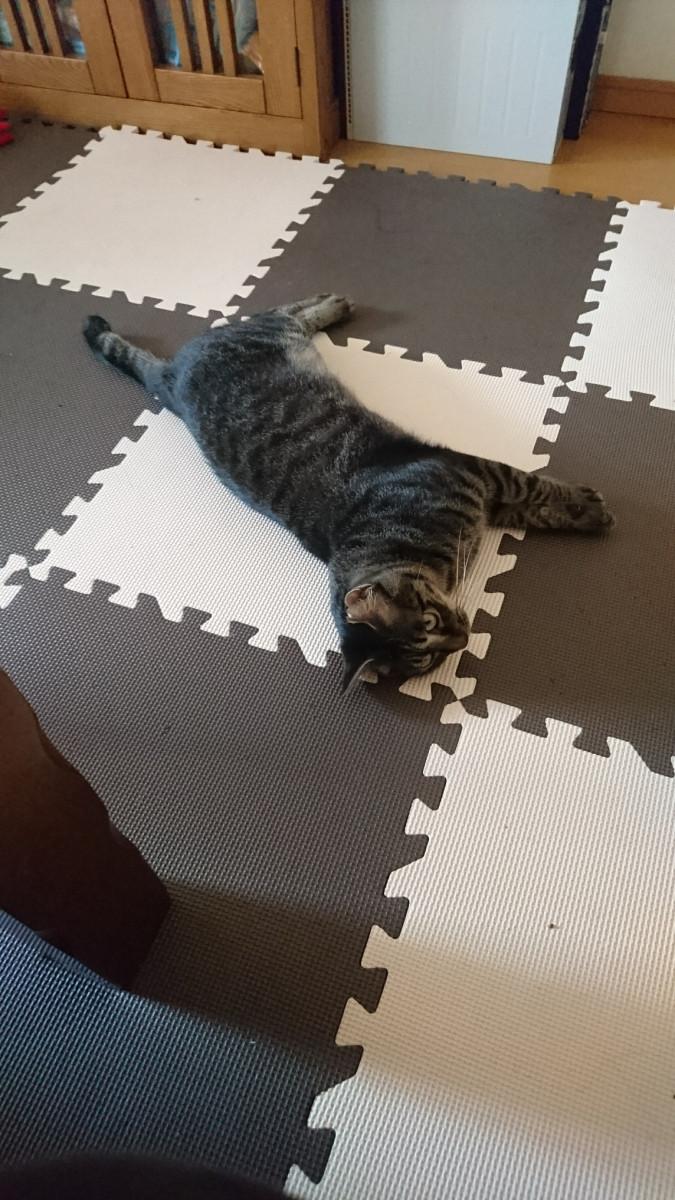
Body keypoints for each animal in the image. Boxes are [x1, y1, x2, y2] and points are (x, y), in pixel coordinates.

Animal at [83, 295, 614, 688]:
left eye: (430, 624)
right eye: (427, 658)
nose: (463, 637)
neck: (410, 544)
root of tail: (170, 379)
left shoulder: (475, 472)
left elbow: (537, 490)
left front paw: (590, 511)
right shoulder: (480, 484)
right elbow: (533, 497)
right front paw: (588, 511)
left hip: (268, 333)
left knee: (278, 309)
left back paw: (333, 304)